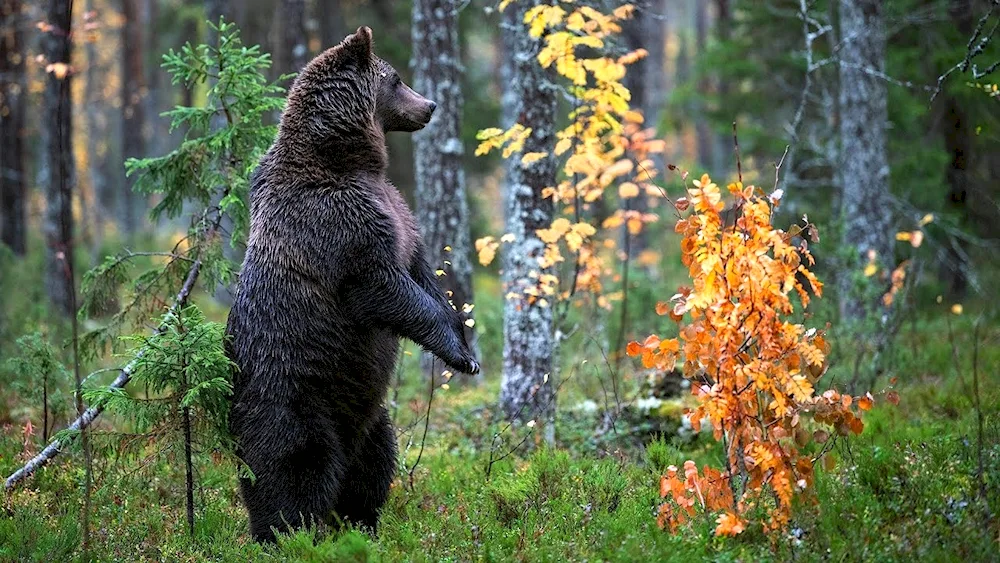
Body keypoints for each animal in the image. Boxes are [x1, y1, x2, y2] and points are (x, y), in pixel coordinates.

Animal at [227, 27, 480, 548]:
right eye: (397, 79)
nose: (430, 105)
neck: (349, 161)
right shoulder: (340, 225)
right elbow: (384, 287)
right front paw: (459, 354)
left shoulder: (398, 213)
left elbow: (419, 272)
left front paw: (463, 339)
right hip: (291, 398)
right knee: (294, 469)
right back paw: (285, 535)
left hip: (371, 414)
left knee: (373, 465)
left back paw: (361, 525)